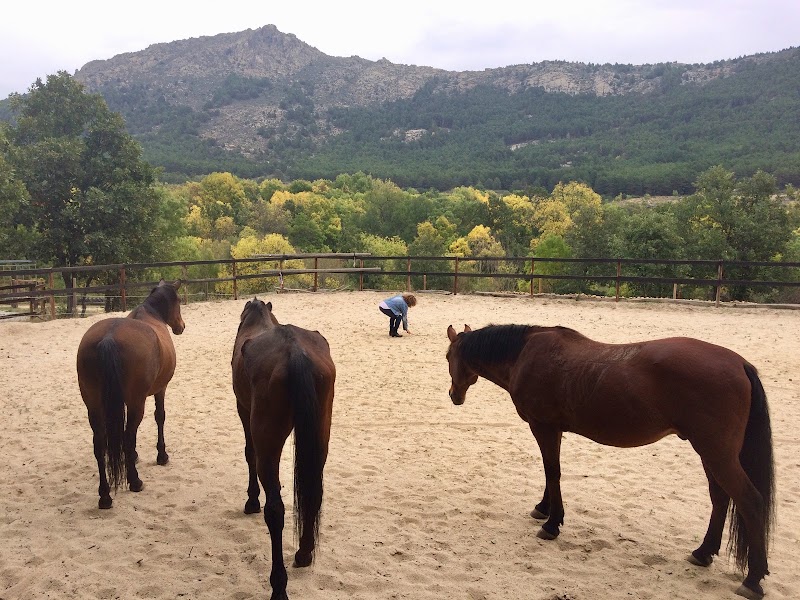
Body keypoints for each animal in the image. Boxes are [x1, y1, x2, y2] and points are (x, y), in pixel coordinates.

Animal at [76, 280, 185, 509]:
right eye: (179, 300)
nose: (181, 326)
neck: (151, 313)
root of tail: (108, 338)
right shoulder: (160, 389)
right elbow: (159, 417)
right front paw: (162, 455)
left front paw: (132, 457)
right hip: (136, 403)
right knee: (127, 436)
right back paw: (135, 481)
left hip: (94, 405)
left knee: (100, 444)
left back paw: (105, 496)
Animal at [232, 298, 335, 600]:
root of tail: (295, 352)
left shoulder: (243, 409)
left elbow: (249, 454)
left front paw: (251, 501)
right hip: (319, 436)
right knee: (315, 492)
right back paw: (304, 553)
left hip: (269, 442)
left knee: (275, 509)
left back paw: (279, 586)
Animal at [445, 323, 775, 600]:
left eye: (448, 356)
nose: (453, 395)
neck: (525, 354)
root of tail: (739, 363)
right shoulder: (553, 429)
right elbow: (551, 472)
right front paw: (543, 508)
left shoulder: (543, 427)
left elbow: (552, 471)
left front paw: (552, 523)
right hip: (710, 453)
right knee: (720, 498)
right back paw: (703, 552)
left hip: (717, 453)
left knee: (750, 500)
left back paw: (752, 579)